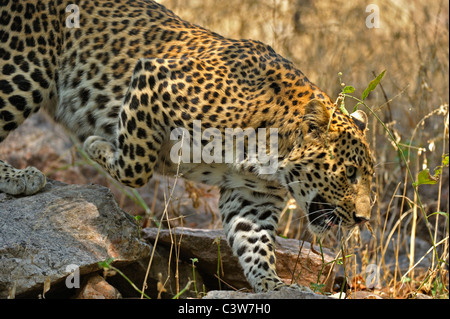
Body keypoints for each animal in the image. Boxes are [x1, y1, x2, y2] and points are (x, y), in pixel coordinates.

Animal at [0, 0, 372, 296]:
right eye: (350, 173)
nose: (363, 219)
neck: (271, 158)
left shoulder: (253, 196)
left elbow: (255, 243)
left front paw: (273, 284)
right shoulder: (153, 79)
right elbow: (136, 165)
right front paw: (97, 144)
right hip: (24, 68)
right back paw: (18, 177)